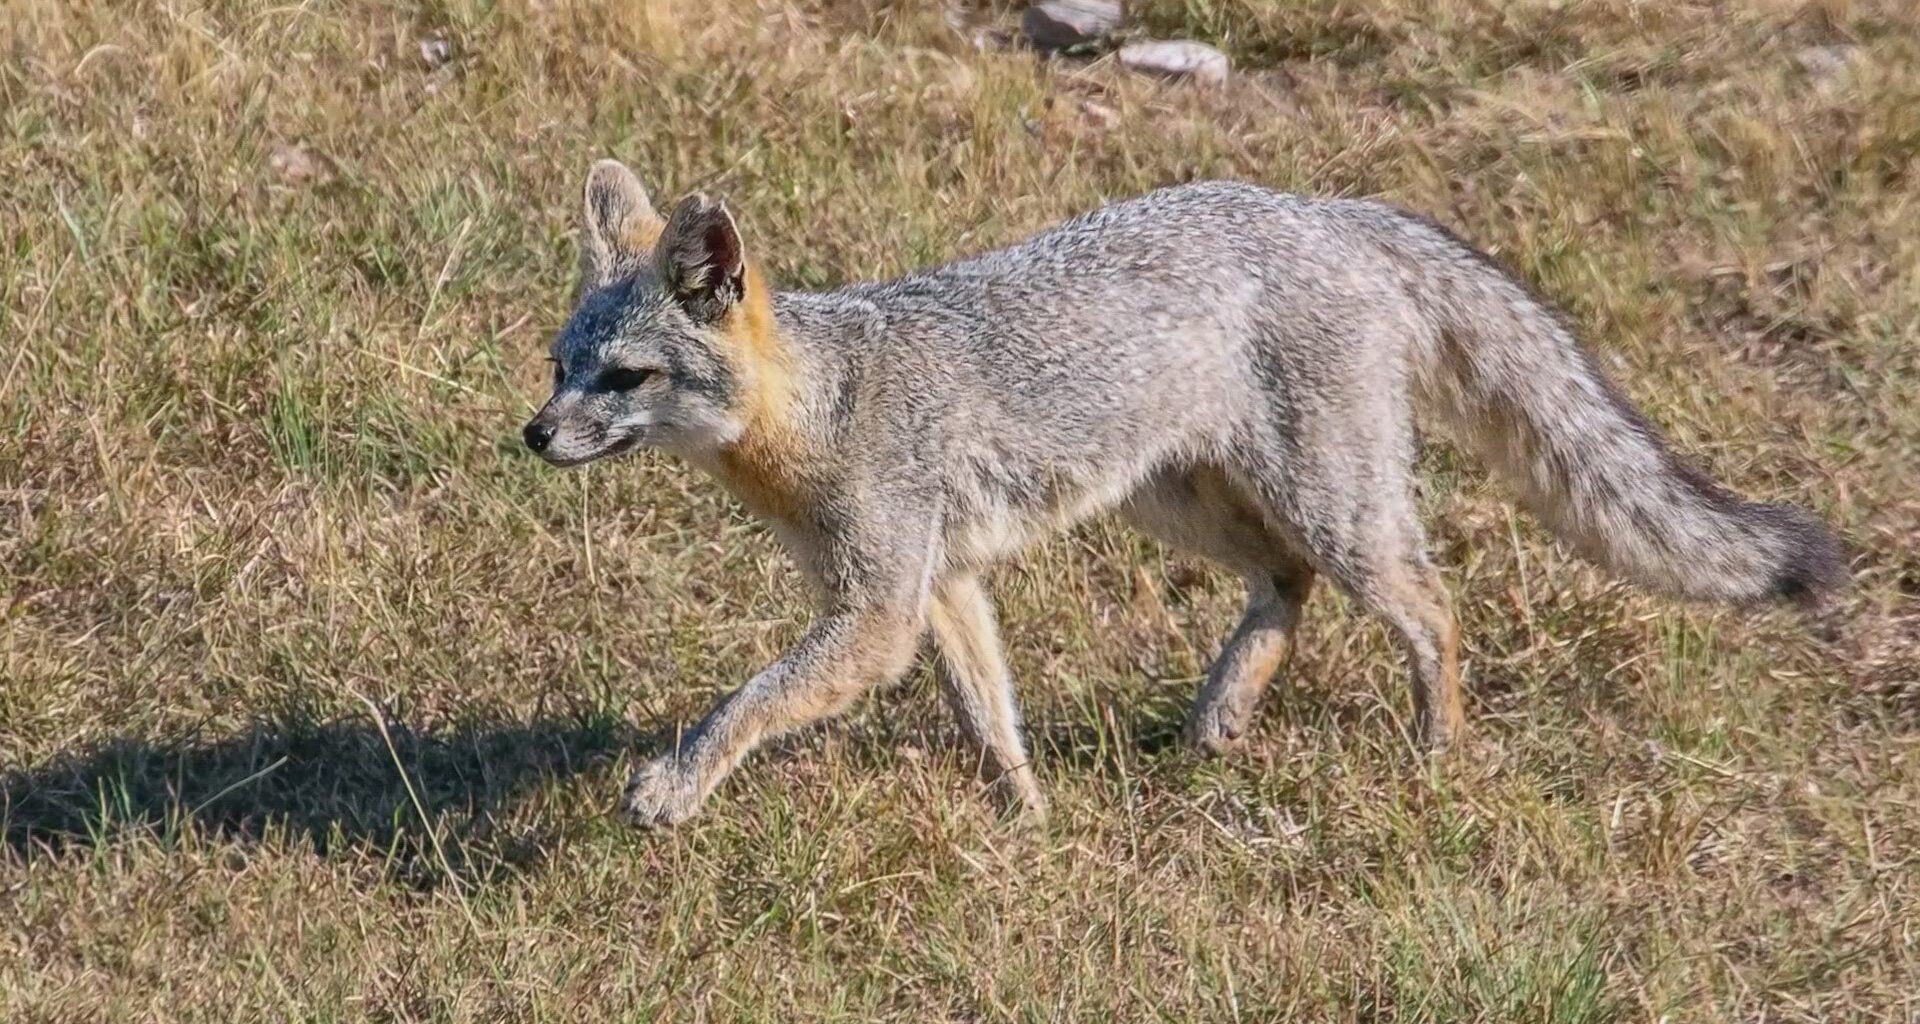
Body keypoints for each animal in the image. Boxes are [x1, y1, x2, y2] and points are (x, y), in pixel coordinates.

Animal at [523, 159, 1844, 826]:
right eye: (555, 362)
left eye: (622, 377)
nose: (533, 435)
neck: (826, 404)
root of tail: (1323, 209)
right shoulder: (942, 585)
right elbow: (989, 714)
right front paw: (1028, 818)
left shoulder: (881, 607)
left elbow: (749, 700)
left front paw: (676, 783)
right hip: (1181, 500)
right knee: (1288, 584)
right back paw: (1220, 716)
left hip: (1335, 508)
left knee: (1431, 605)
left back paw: (1438, 751)